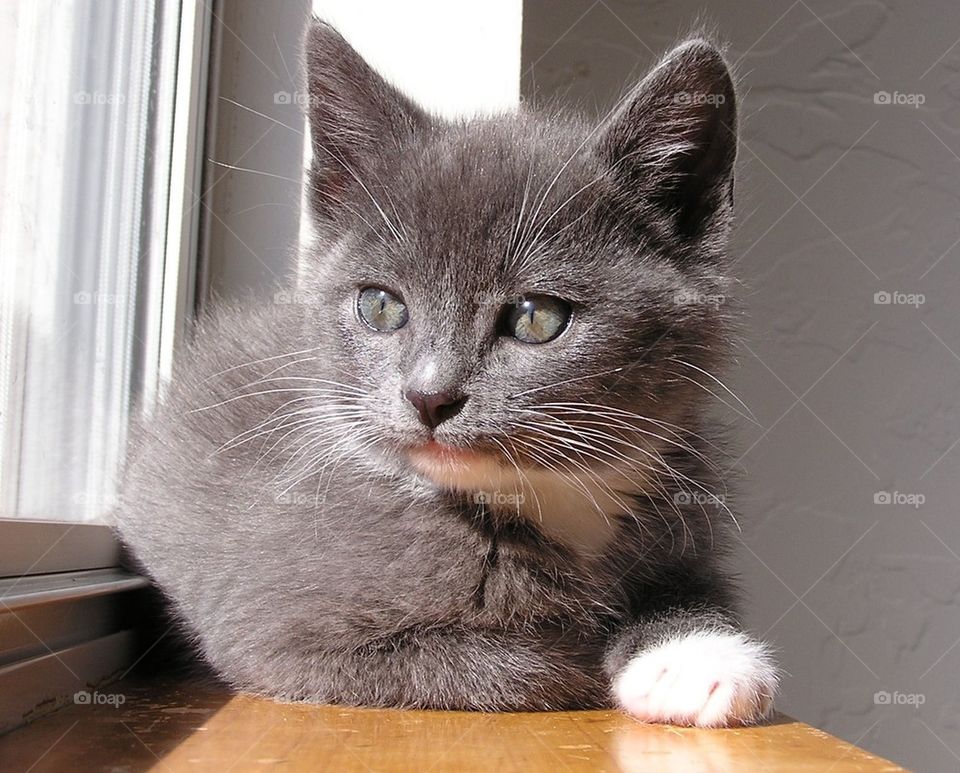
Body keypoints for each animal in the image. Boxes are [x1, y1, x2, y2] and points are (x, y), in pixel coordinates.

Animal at [118, 21, 780, 728]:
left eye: (537, 317)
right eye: (380, 306)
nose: (428, 396)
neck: (547, 496)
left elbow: (691, 587)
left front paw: (697, 656)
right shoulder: (276, 626)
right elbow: (522, 667)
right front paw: (590, 649)